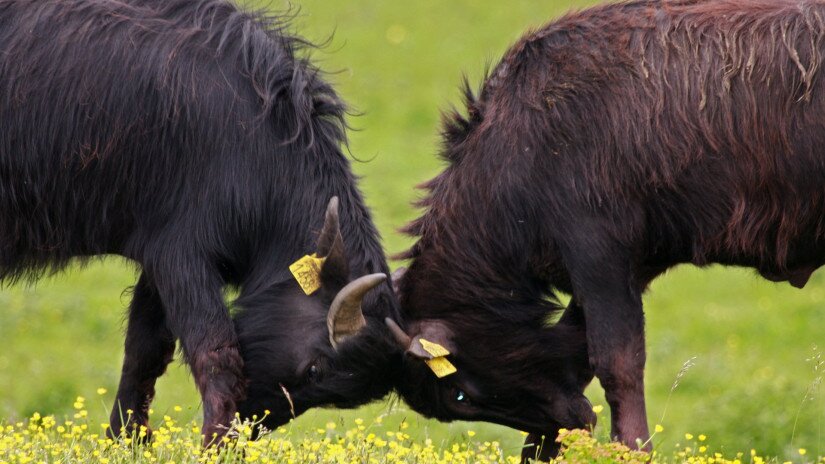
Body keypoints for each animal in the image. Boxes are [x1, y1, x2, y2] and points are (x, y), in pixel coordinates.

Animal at [0, 0, 402, 442]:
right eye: (315, 367)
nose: (251, 426)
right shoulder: (180, 255)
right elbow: (217, 354)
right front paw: (214, 446)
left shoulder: (157, 258)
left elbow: (145, 350)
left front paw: (128, 441)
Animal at [386, 0, 824, 456]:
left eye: (460, 395)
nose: (566, 422)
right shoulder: (625, 270)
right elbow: (576, 357)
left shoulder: (600, 256)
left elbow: (617, 364)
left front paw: (632, 449)